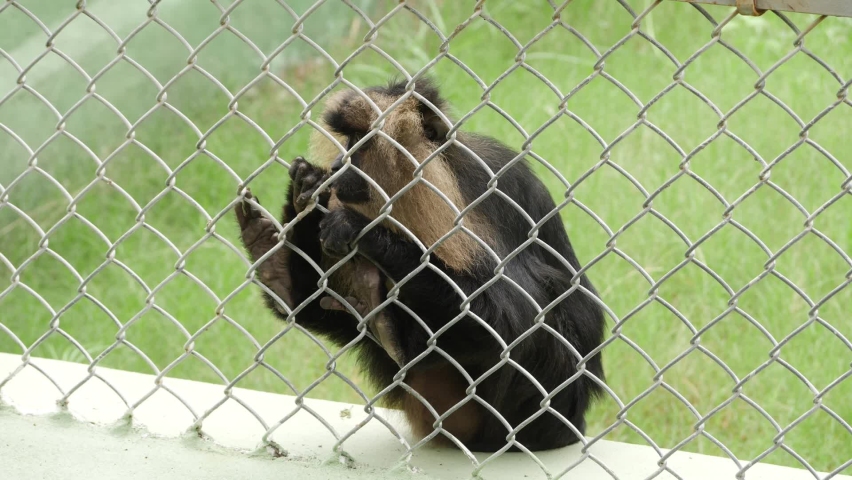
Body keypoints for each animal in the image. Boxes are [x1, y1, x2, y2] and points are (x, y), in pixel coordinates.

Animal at [235, 78, 607, 453]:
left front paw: (364, 232)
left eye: (359, 143)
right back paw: (281, 270)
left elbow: (513, 322)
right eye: (346, 141)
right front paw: (309, 186)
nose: (339, 163)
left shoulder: (496, 188)